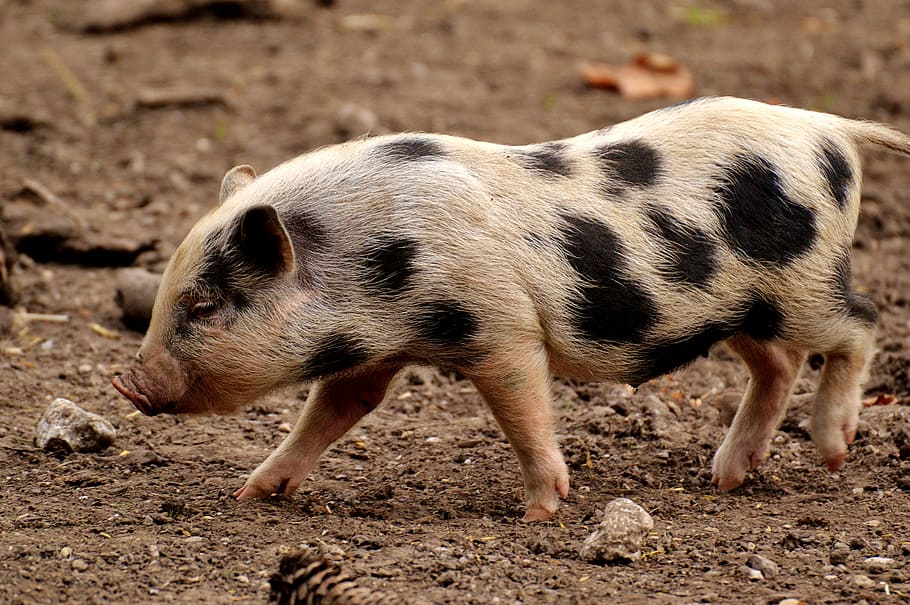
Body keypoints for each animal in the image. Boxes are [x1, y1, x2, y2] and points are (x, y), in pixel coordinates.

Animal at [113, 97, 910, 521]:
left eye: (205, 304)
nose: (130, 381)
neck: (374, 256)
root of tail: (828, 128)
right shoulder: (373, 347)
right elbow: (335, 409)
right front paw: (253, 493)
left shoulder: (499, 325)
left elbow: (523, 404)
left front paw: (541, 510)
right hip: (737, 310)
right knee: (777, 363)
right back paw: (724, 478)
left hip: (802, 284)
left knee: (862, 321)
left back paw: (831, 450)